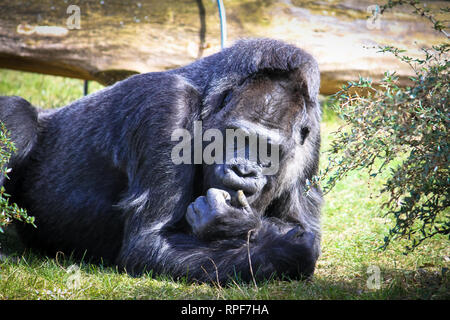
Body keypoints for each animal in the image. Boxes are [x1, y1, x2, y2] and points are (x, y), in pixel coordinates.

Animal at [0, 38, 324, 284]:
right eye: (238, 136)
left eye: (268, 148)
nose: (243, 170)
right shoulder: (167, 103)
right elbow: (149, 243)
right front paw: (277, 244)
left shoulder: (313, 135)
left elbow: (304, 231)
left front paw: (238, 225)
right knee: (17, 118)